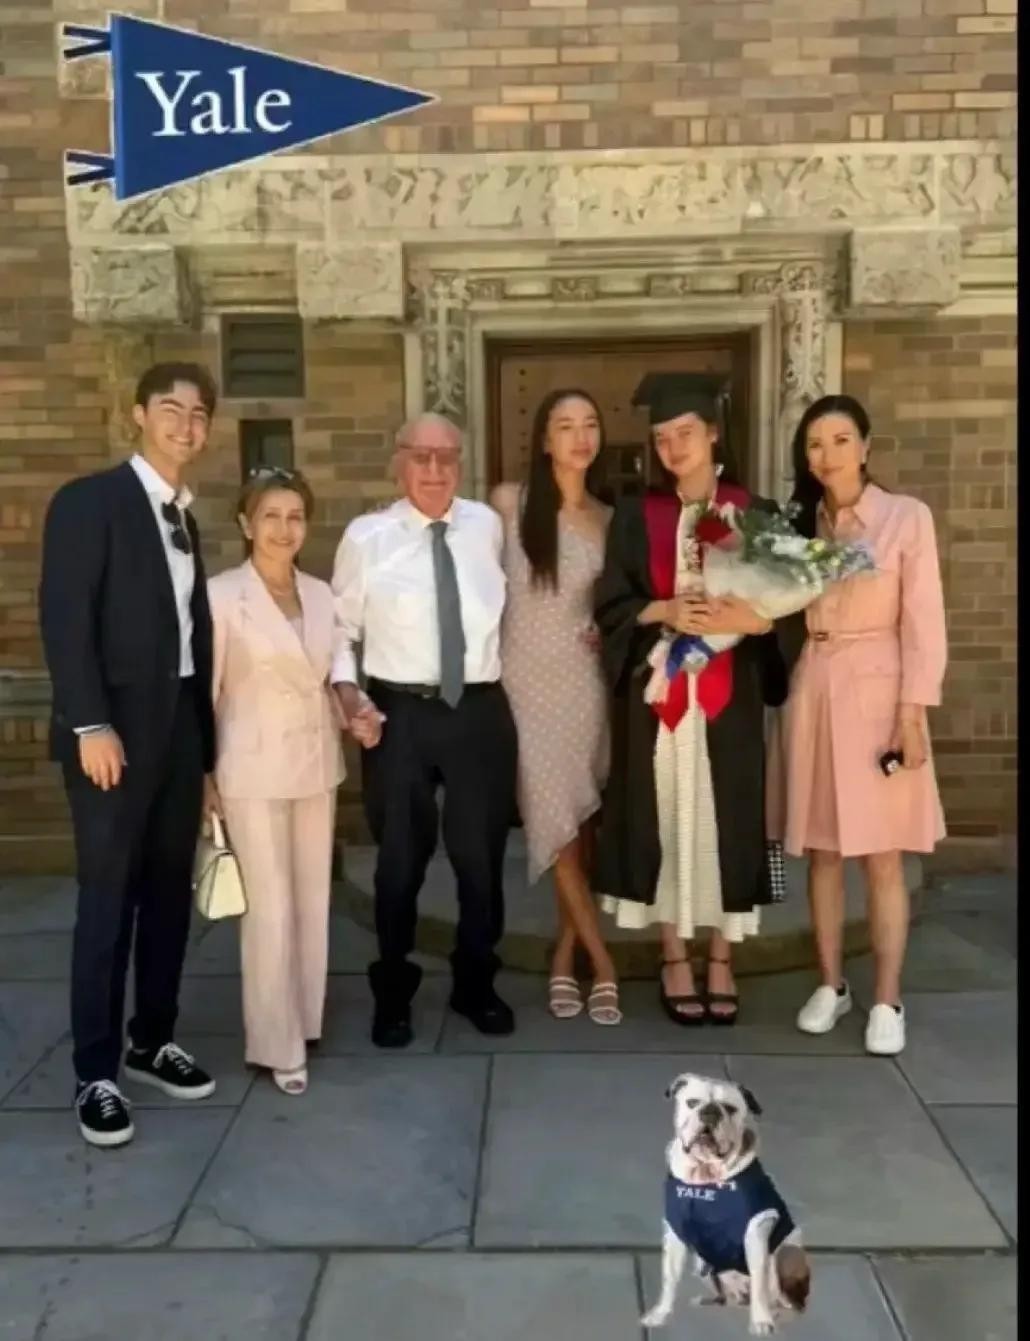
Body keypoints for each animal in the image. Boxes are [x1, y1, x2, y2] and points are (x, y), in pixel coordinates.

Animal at [640, 1072, 811, 1336]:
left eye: (730, 1109)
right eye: (692, 1103)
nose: (710, 1112)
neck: (705, 1175)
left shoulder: (755, 1233)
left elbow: (760, 1283)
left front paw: (761, 1322)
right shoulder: (675, 1233)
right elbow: (669, 1278)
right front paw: (661, 1314)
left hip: (786, 1253)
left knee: (785, 1299)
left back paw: (777, 1313)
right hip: (703, 1264)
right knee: (728, 1295)